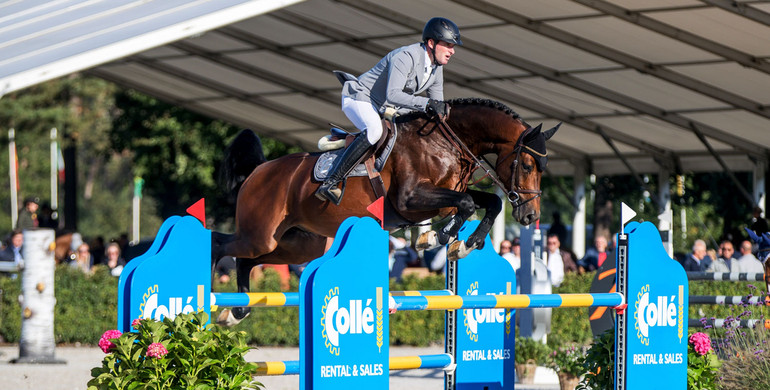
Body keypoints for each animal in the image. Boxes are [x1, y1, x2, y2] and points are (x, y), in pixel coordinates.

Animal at [212, 97, 560, 322]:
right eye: (527, 165)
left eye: (543, 168)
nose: (531, 216)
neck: (445, 142)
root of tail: (258, 171)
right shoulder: (409, 200)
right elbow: (466, 204)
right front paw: (438, 238)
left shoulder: (448, 192)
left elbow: (488, 202)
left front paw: (463, 244)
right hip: (261, 233)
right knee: (220, 244)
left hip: (297, 244)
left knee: (246, 260)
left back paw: (236, 312)